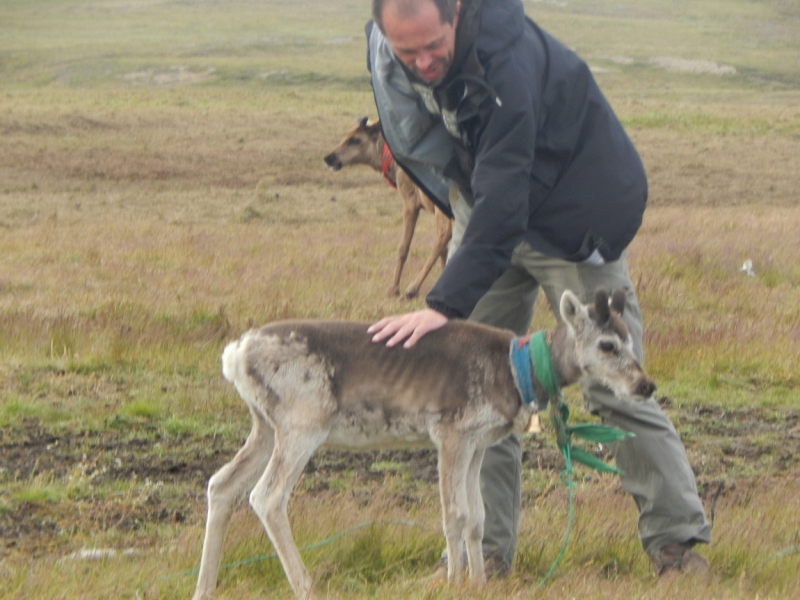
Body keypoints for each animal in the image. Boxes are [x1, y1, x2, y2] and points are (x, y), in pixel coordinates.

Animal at [191, 290, 652, 600]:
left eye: (631, 338)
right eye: (607, 344)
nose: (645, 385)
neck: (514, 371)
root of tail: (234, 354)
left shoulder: (479, 443)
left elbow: (478, 517)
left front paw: (479, 583)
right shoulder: (451, 433)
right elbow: (454, 514)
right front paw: (454, 582)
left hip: (265, 427)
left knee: (221, 484)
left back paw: (204, 589)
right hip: (302, 423)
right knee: (266, 496)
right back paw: (307, 586)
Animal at [324, 116, 450, 298]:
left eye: (355, 139)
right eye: (347, 134)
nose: (328, 158)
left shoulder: (410, 201)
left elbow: (403, 247)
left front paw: (393, 288)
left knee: (442, 237)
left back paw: (412, 289)